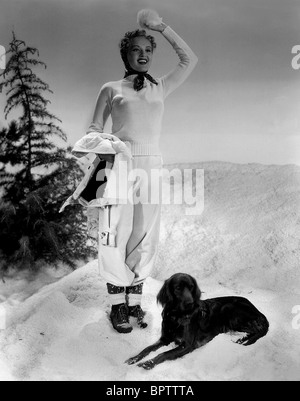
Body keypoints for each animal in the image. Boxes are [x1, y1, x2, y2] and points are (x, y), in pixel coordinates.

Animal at [125, 272, 268, 368]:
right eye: (178, 288)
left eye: (191, 287)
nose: (190, 303)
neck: (176, 316)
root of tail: (259, 312)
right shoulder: (165, 338)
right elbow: (147, 349)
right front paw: (134, 358)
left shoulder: (187, 345)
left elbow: (163, 354)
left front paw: (149, 363)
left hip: (229, 309)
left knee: (257, 329)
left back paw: (242, 339)